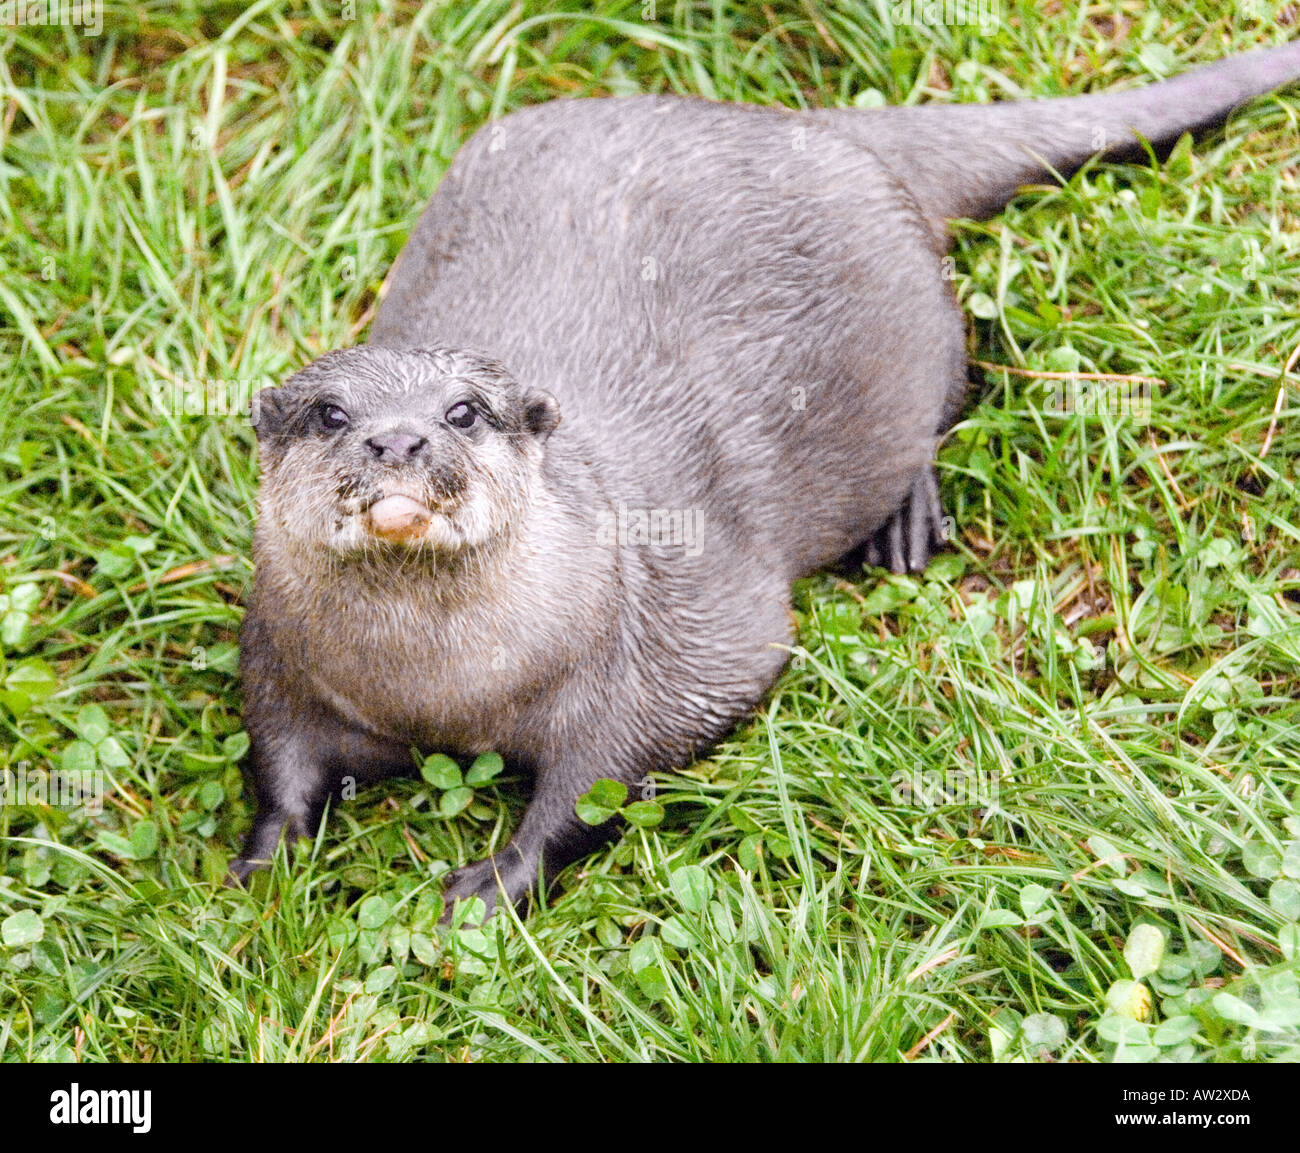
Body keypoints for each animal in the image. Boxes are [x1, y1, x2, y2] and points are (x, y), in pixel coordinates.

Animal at [232, 43, 1300, 916]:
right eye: (331, 414)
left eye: (463, 410)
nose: (398, 440)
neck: (441, 698)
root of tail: (816, 129)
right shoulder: (280, 657)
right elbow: (277, 757)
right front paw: (258, 862)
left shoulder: (671, 648)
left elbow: (604, 777)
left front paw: (496, 881)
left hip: (923, 324)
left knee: (955, 387)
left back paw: (906, 523)